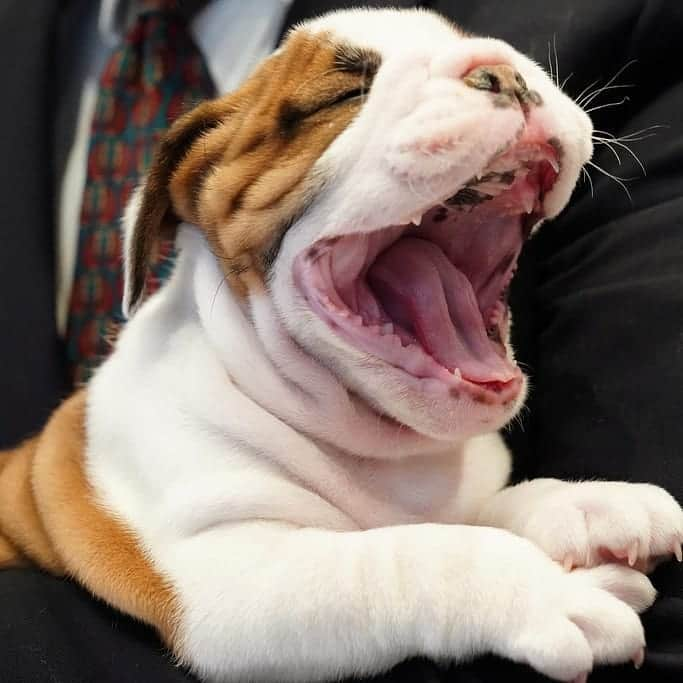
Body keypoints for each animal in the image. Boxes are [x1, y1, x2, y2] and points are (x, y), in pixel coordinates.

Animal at [1, 8, 683, 683]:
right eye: (345, 95)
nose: (505, 73)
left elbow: (472, 512)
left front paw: (583, 504)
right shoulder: (229, 573)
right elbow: (411, 554)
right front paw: (544, 589)